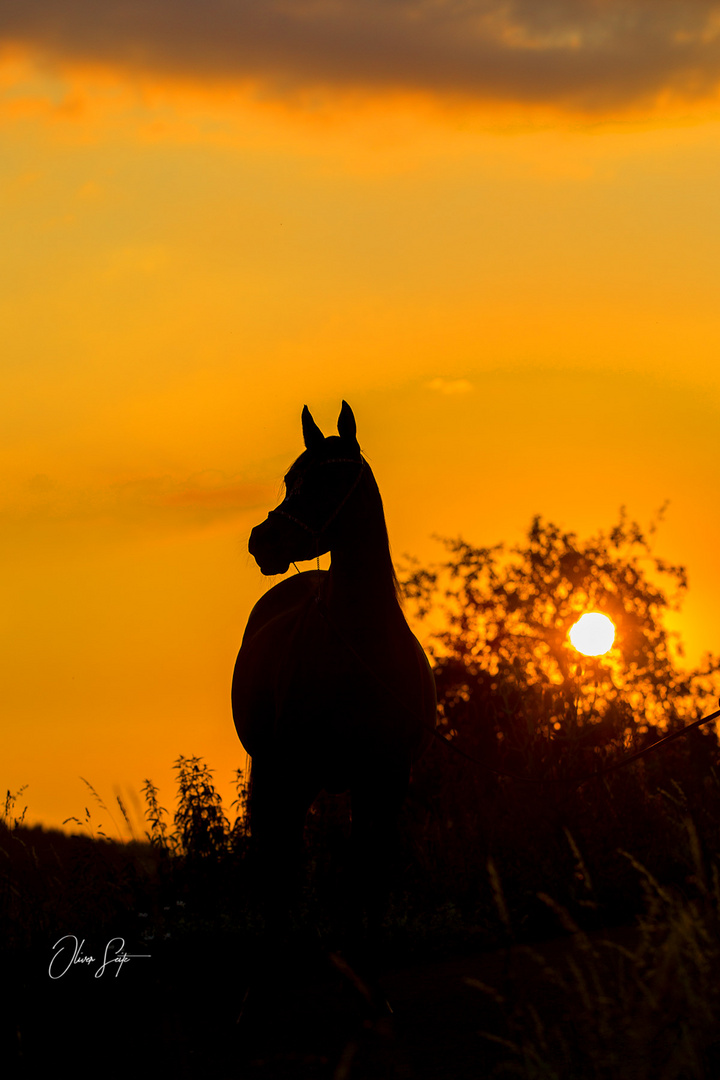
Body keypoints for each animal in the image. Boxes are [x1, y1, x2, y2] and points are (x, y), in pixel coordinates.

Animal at [232, 401, 433, 933]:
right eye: (290, 479)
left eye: (328, 481)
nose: (263, 542)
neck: (360, 647)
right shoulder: (295, 773)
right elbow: (287, 867)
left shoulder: (385, 780)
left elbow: (369, 874)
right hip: (274, 772)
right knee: (274, 859)